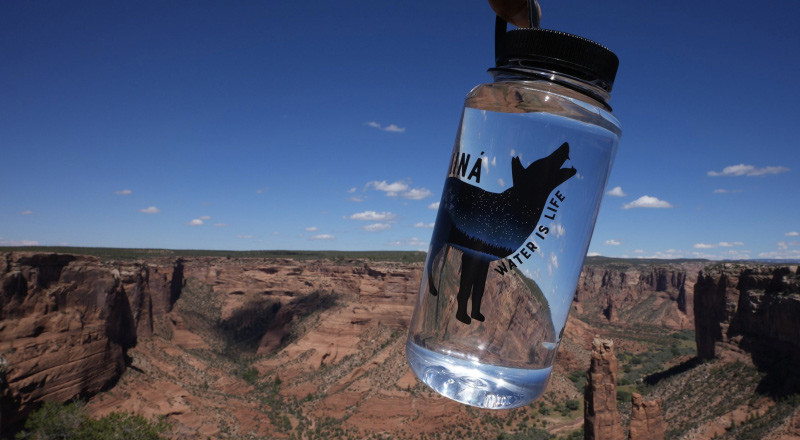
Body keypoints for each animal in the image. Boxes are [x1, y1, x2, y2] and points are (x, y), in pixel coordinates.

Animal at [427, 142, 576, 324]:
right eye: (542, 164)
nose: (566, 144)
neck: (515, 209)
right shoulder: (472, 254)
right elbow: (466, 288)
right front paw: (462, 316)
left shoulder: (483, 259)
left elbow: (478, 290)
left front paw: (476, 315)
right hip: (440, 239)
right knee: (430, 262)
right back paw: (433, 289)